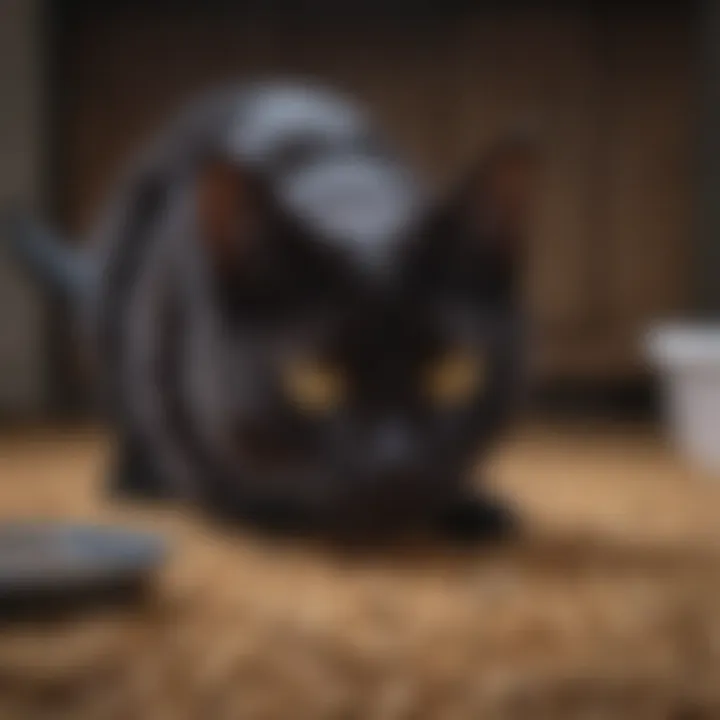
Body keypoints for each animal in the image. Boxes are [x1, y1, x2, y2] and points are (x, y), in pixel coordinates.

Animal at [4, 80, 536, 540]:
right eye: (315, 378)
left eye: (453, 371)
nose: (395, 463)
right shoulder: (163, 360)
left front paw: (470, 503)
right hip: (114, 304)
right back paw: (134, 477)